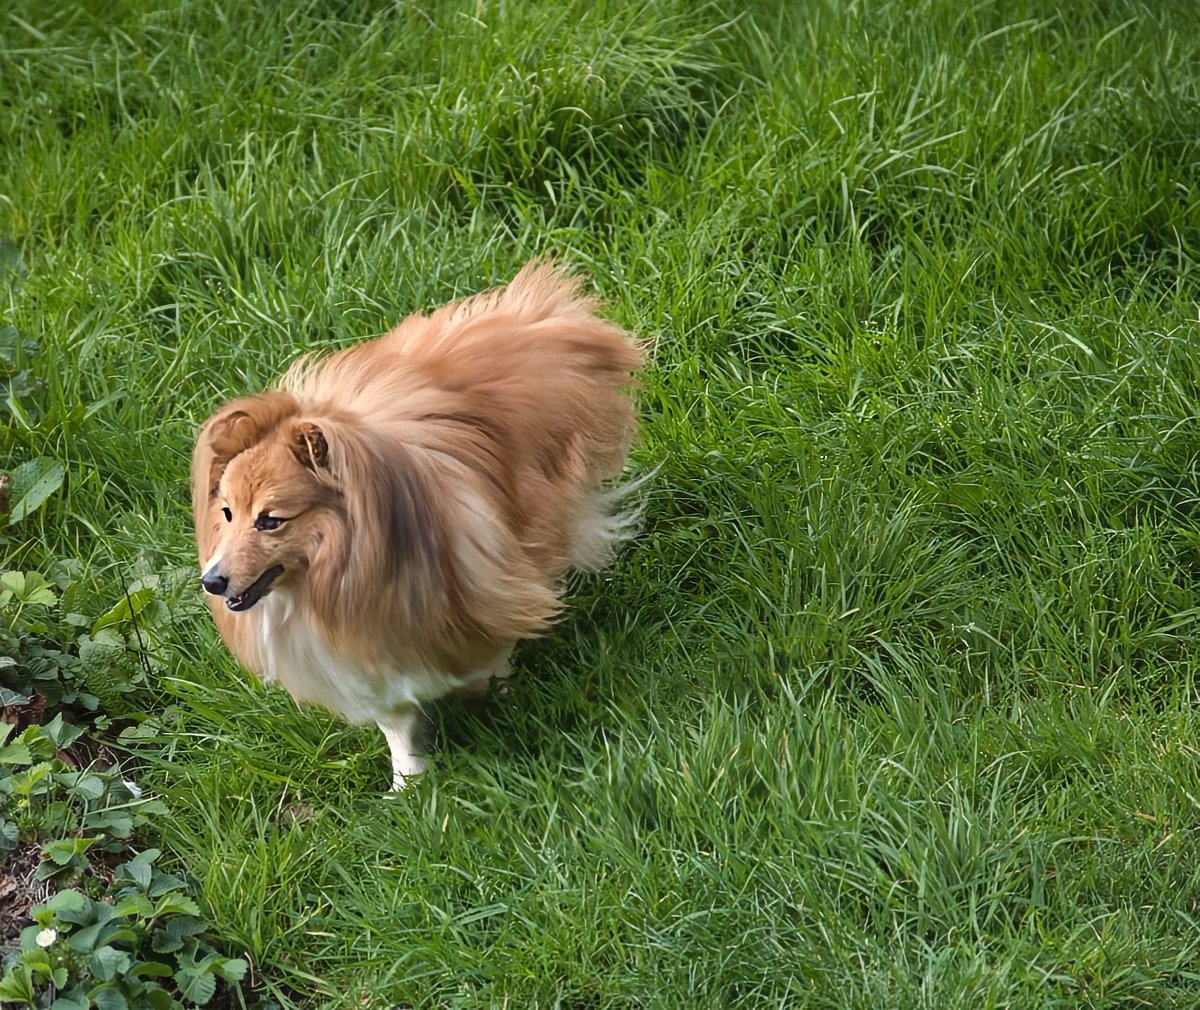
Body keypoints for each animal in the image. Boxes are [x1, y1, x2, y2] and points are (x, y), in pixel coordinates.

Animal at [192, 260, 643, 786]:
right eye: (227, 513)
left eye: (270, 521)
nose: (212, 581)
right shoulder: (370, 659)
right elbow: (397, 724)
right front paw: (407, 783)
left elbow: (485, 657)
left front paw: (493, 695)